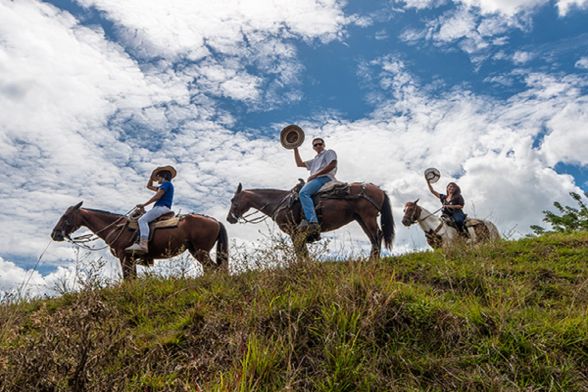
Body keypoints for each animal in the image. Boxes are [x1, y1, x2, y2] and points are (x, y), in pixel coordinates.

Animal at [51, 202, 229, 278]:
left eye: (66, 216)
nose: (55, 234)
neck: (116, 227)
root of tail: (215, 221)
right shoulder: (130, 259)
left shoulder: (124, 256)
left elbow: (128, 279)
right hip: (195, 250)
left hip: (201, 251)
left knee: (214, 268)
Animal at [225, 182, 396, 258]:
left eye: (233, 200)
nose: (228, 218)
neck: (280, 202)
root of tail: (379, 189)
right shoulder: (298, 234)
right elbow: (303, 251)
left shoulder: (294, 232)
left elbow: (300, 252)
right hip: (361, 219)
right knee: (373, 239)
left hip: (368, 217)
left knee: (377, 236)